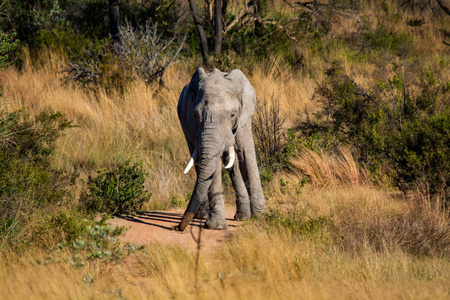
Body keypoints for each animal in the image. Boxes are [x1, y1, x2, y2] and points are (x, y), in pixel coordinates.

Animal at [175, 68, 264, 231]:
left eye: (233, 114)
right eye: (196, 115)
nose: (178, 227)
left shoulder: (244, 117)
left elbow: (246, 155)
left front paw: (260, 218)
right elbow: (212, 167)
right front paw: (216, 227)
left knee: (234, 165)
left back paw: (242, 217)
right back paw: (203, 216)